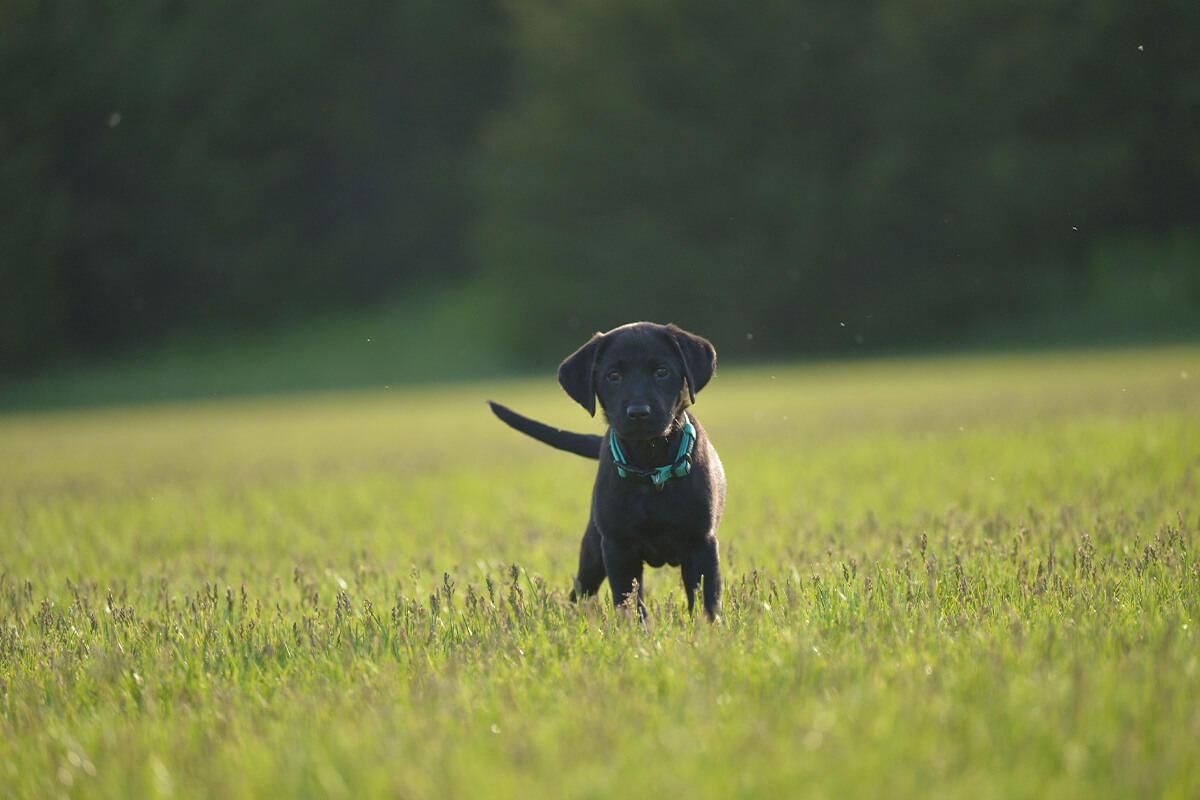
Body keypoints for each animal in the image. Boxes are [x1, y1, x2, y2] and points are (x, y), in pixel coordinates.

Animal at [484, 321, 720, 623]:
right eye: (614, 376)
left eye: (662, 372)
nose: (638, 412)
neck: (649, 465)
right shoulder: (617, 548)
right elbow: (629, 601)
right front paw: (638, 630)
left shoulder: (702, 543)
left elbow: (707, 599)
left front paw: (709, 630)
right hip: (593, 552)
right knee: (579, 591)